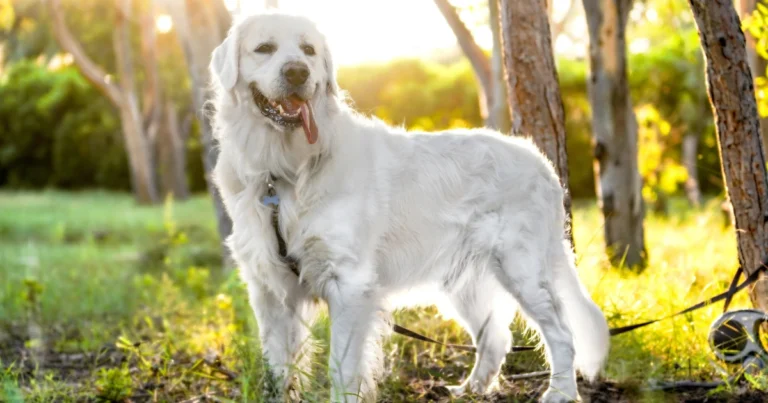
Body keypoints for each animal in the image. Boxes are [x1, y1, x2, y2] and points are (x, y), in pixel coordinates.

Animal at [207, 11, 608, 402]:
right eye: (264, 48)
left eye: (308, 50)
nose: (297, 73)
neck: (285, 170)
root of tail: (542, 163)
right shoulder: (270, 289)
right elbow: (278, 370)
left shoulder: (349, 283)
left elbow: (342, 368)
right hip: (466, 285)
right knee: (495, 337)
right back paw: (471, 390)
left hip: (521, 267)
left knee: (562, 333)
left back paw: (559, 393)